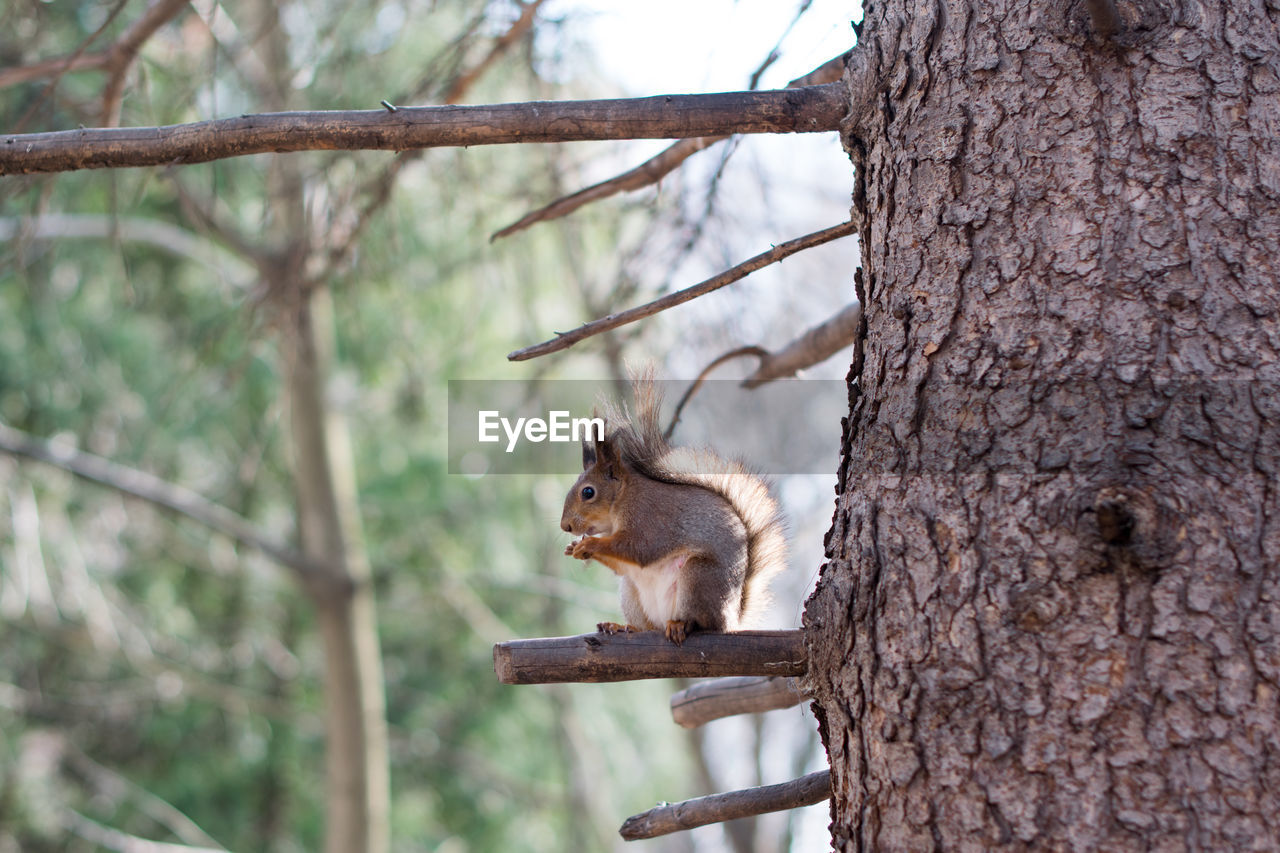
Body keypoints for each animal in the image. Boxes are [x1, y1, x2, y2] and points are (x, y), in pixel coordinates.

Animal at [563, 376, 783, 640]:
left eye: (588, 492)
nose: (565, 526)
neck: (622, 498)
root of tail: (731, 621)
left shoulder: (649, 516)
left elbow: (640, 548)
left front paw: (589, 545)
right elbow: (622, 564)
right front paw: (575, 548)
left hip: (698, 577)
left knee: (704, 622)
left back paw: (682, 625)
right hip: (631, 590)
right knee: (649, 625)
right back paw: (625, 627)